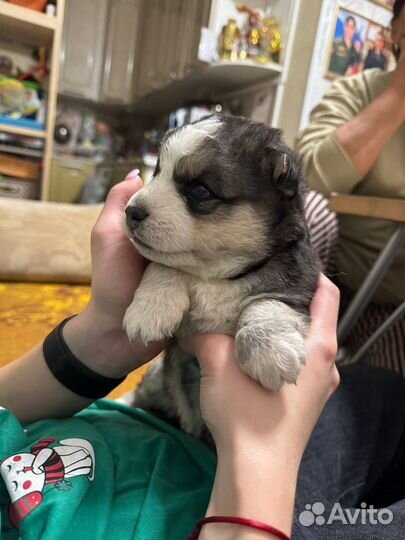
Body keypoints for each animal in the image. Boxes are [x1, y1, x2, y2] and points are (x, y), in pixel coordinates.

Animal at [123, 114, 318, 438]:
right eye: (157, 172)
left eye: (201, 190)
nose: (130, 211)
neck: (217, 277)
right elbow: (164, 263)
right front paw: (149, 311)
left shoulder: (300, 284)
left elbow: (268, 303)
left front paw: (270, 352)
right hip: (155, 378)